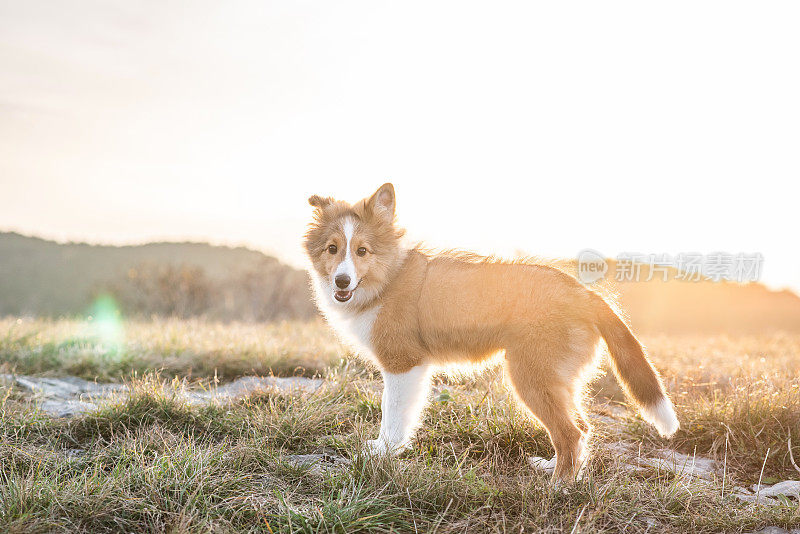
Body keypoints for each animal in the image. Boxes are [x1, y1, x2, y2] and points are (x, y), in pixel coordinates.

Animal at [304, 184, 680, 486]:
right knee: (581, 429)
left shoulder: (402, 364)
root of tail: (585, 293)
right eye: (332, 249)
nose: (341, 281)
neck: (388, 279)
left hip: (531, 376)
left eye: (362, 251)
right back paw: (550, 468)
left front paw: (382, 453)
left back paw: (557, 488)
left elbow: (393, 414)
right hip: (557, 380)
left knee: (571, 434)